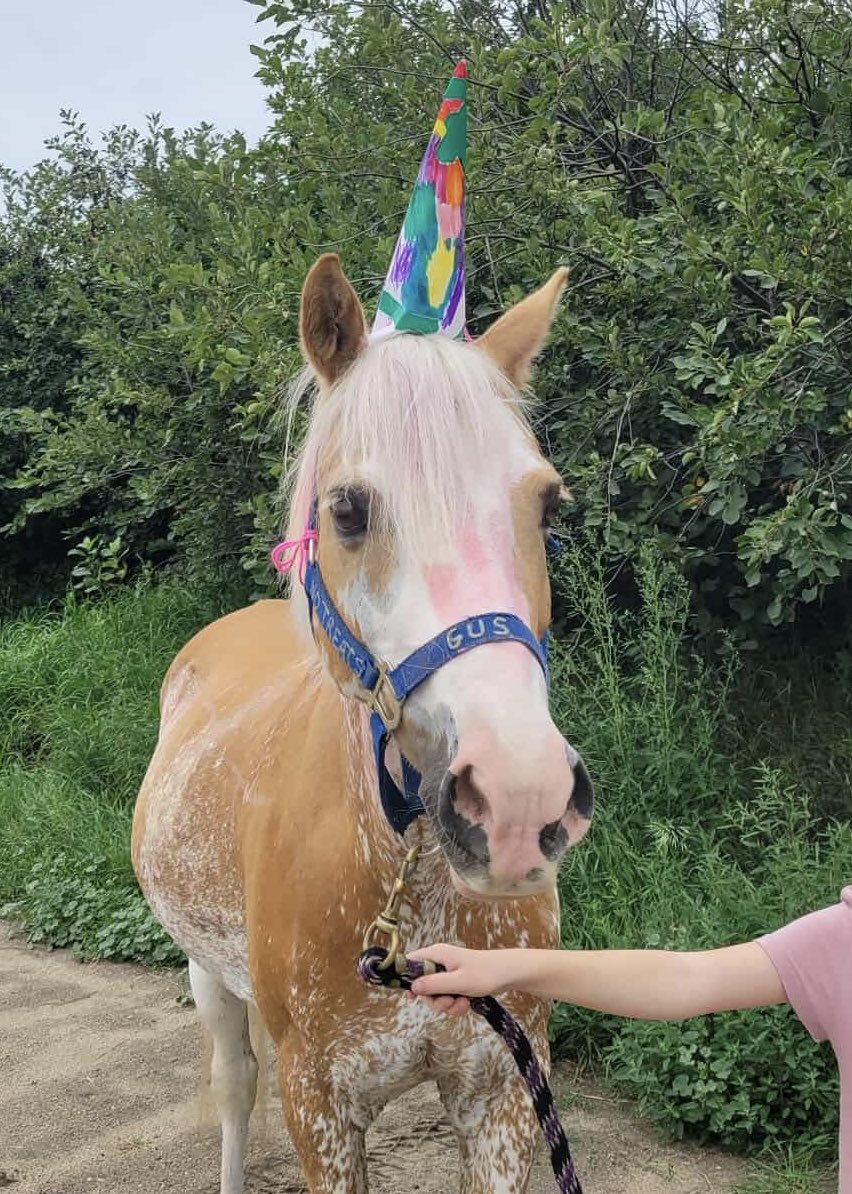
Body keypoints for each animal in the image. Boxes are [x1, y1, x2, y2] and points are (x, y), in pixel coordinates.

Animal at [132, 252, 594, 1194]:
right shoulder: (323, 1109)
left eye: (549, 507)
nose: (519, 800)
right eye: (347, 509)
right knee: (235, 1086)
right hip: (206, 973)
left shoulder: (502, 1097)